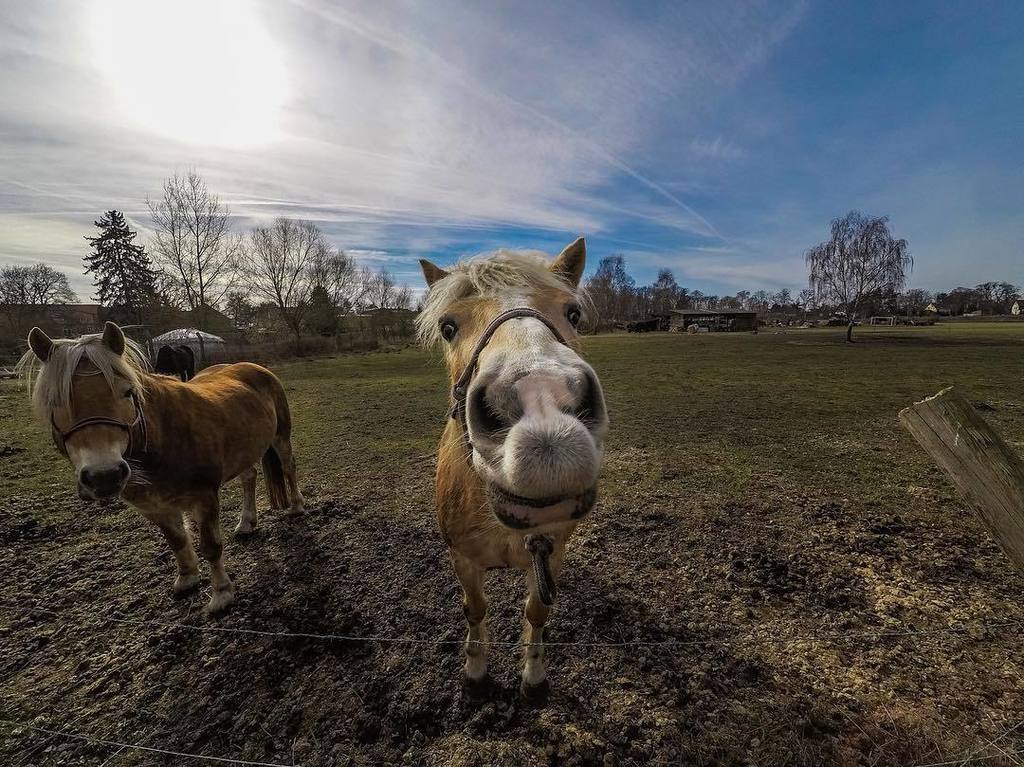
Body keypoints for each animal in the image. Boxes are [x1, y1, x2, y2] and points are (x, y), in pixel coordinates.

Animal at [16, 322, 304, 614]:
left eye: (127, 392)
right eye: (54, 402)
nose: (104, 476)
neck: (163, 439)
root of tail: (253, 367)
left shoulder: (204, 497)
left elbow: (211, 546)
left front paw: (221, 594)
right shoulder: (154, 506)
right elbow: (176, 541)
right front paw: (187, 578)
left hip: (281, 437)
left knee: (288, 467)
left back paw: (296, 506)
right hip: (244, 449)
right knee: (249, 476)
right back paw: (246, 522)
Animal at [417, 237, 609, 698]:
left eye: (573, 313)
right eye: (448, 327)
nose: (543, 402)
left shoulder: (551, 553)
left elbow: (536, 611)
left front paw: (533, 675)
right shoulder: (463, 559)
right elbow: (474, 608)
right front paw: (475, 671)